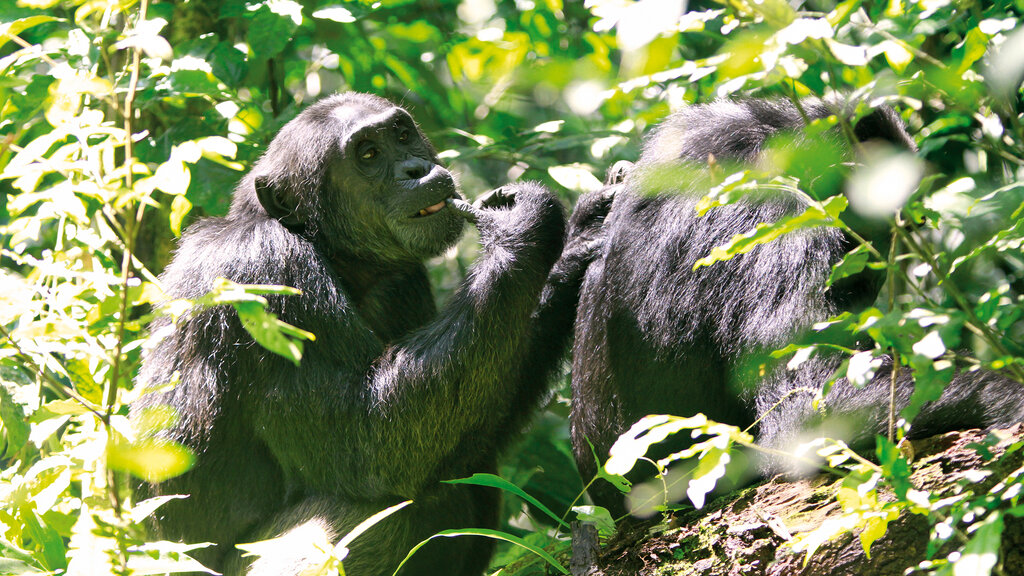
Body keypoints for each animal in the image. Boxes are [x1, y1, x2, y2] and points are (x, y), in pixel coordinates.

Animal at [134, 91, 598, 569]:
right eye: (369, 155)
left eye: (402, 134)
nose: (415, 169)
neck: (329, 250)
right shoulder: (264, 273)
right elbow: (372, 441)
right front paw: (519, 225)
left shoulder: (404, 282)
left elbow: (472, 407)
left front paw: (580, 241)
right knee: (371, 513)